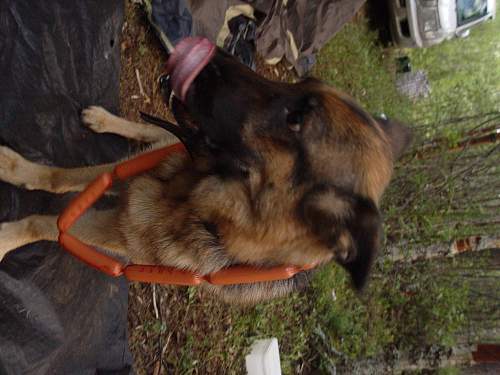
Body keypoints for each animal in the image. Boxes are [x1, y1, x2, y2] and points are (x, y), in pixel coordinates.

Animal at [0, 44, 410, 306]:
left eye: (295, 119)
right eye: (299, 82)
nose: (210, 53)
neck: (192, 202)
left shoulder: (118, 233)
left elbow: (46, 224)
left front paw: (6, 237)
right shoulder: (124, 177)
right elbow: (61, 177)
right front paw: (17, 168)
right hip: (155, 147)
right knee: (147, 133)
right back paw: (105, 120)